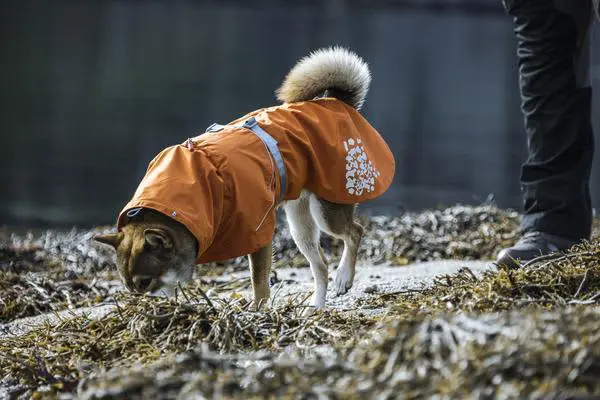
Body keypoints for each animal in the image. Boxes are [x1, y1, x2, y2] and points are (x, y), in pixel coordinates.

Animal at [95, 46, 394, 310]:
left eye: (144, 283)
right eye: (129, 285)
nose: (138, 305)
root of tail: (335, 101)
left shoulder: (258, 235)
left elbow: (259, 284)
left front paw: (257, 313)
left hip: (328, 208)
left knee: (355, 232)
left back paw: (344, 277)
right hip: (300, 224)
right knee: (320, 263)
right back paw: (316, 306)